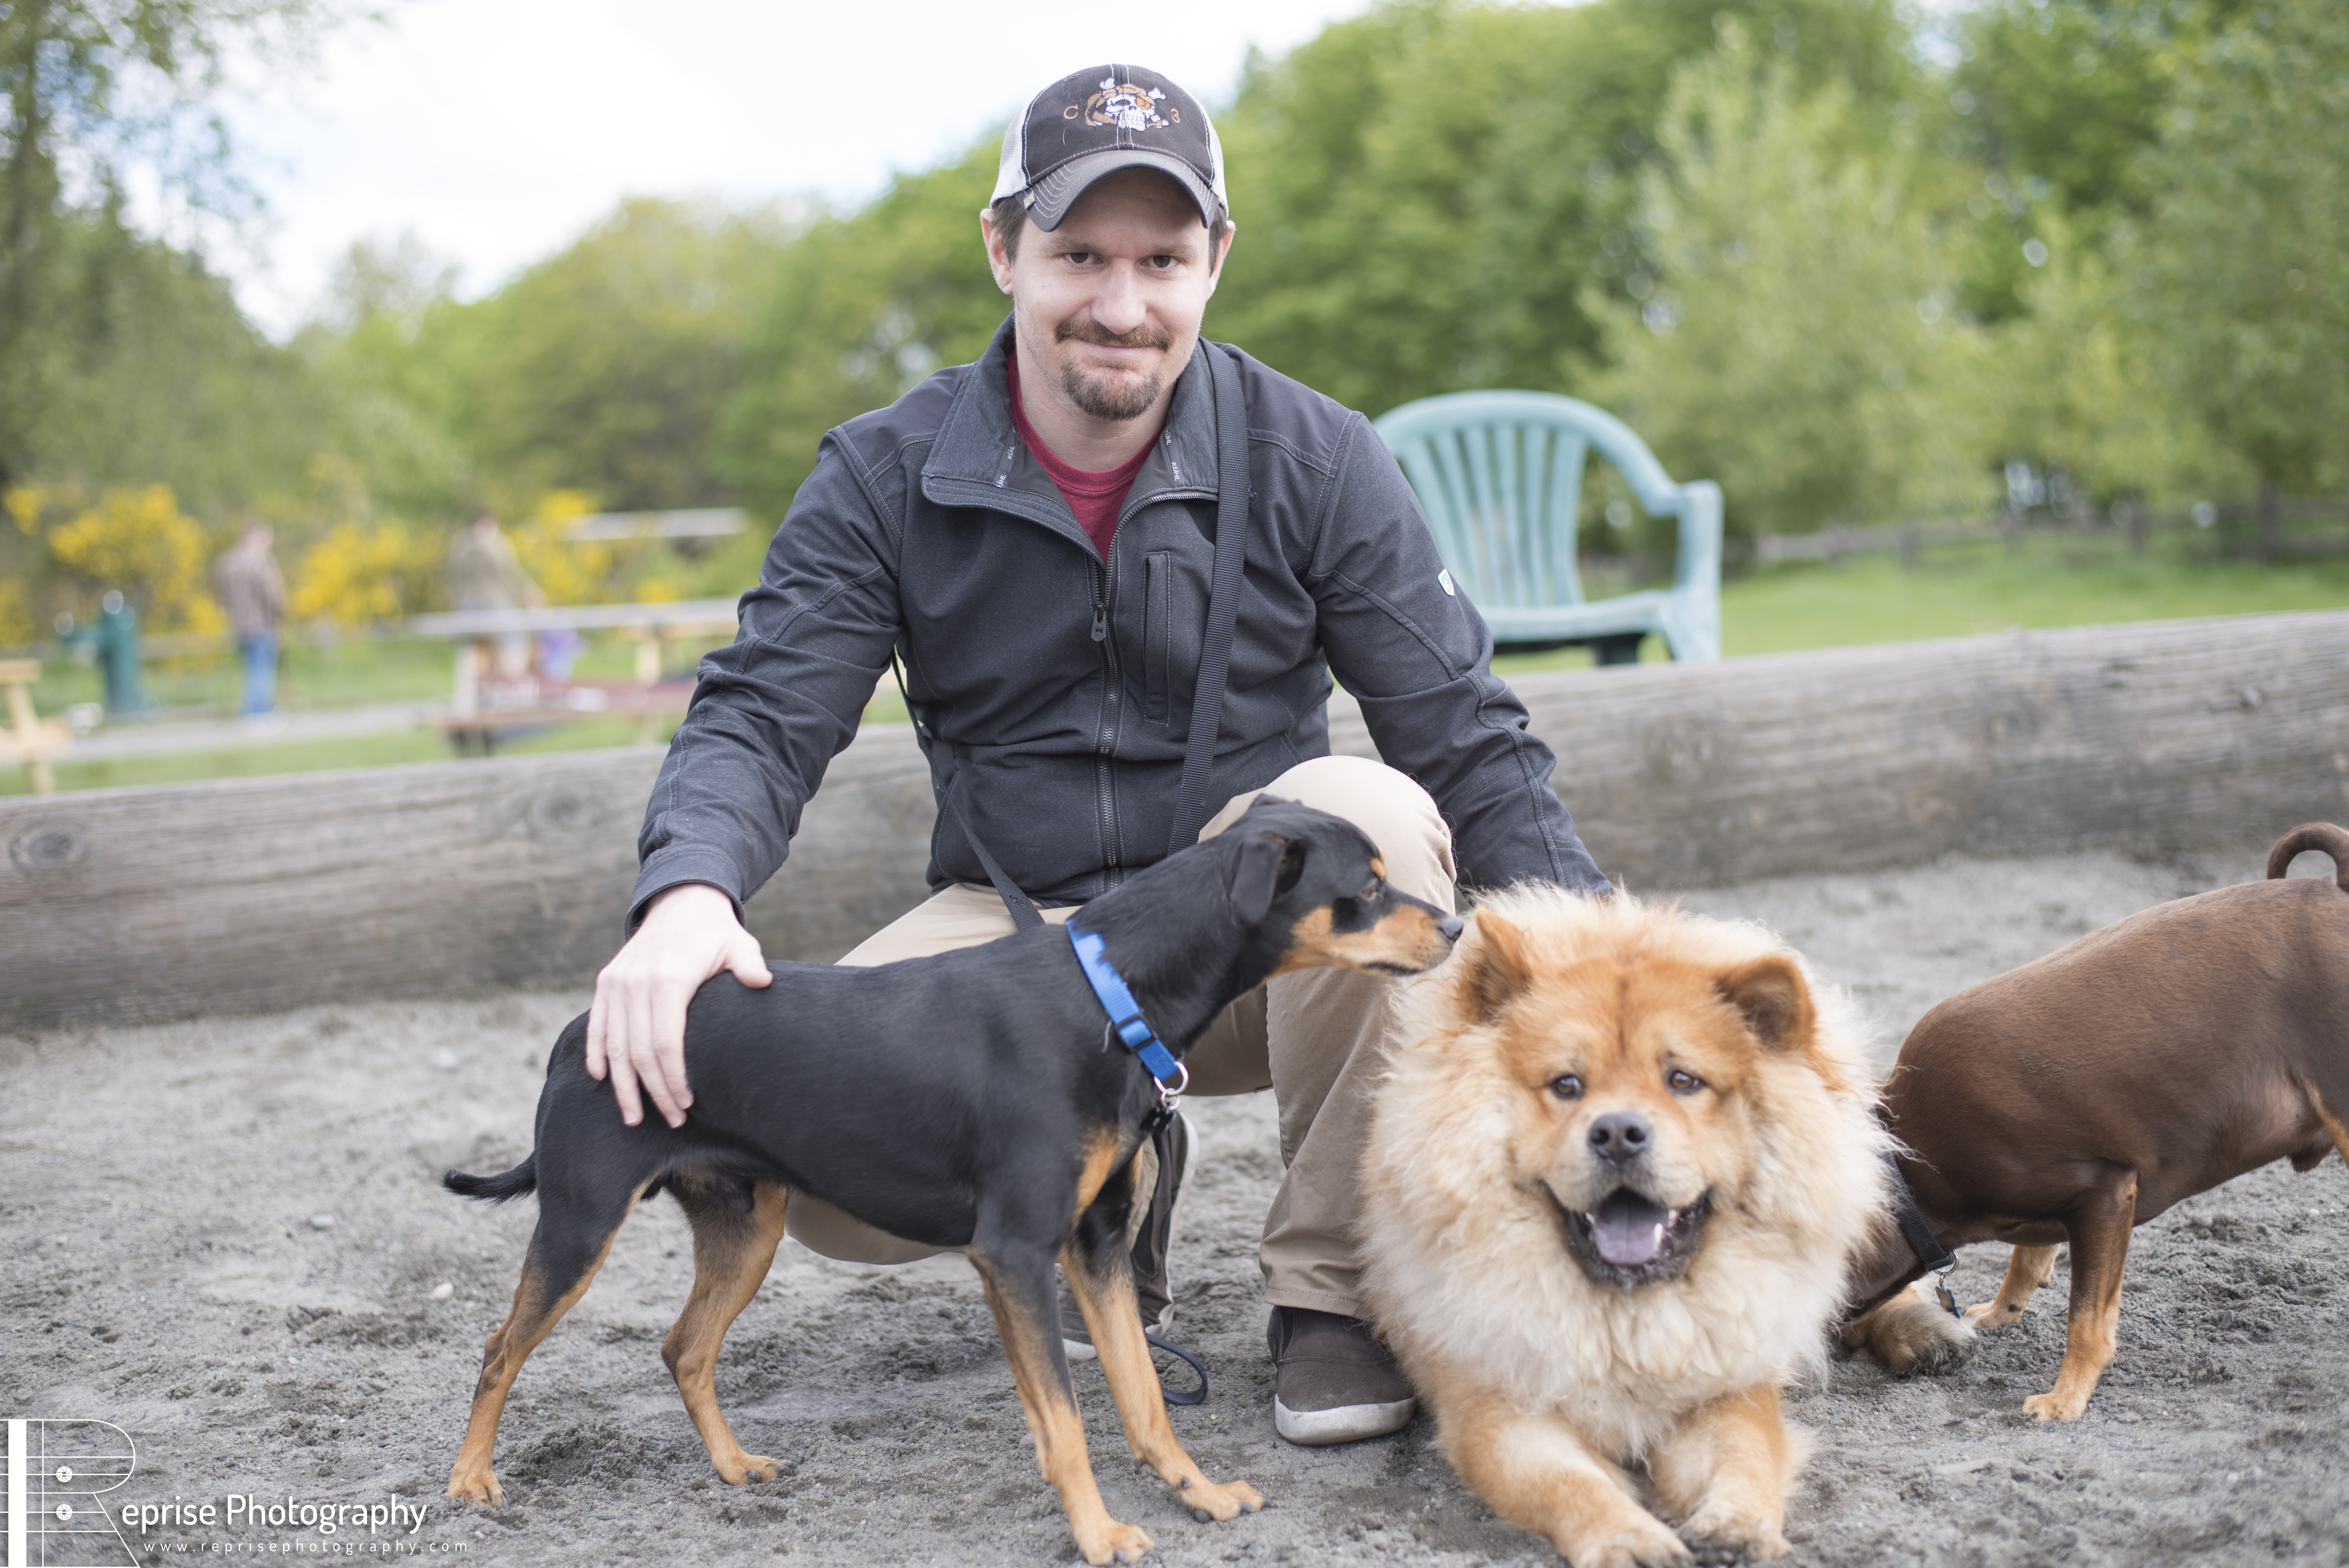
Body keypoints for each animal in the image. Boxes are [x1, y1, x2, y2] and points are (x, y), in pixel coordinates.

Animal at [442, 803, 1456, 1558]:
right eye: (1364, 888)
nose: (1453, 925)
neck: (1107, 995)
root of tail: (583, 1027)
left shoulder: (1093, 1248)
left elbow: (1140, 1396)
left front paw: (1194, 1493)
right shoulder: (1015, 1252)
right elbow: (1065, 1417)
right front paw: (1099, 1534)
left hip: (746, 1225)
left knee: (684, 1347)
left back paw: (732, 1468)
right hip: (582, 1222)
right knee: (499, 1348)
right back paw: (470, 1480)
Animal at [1362, 887, 1888, 1558]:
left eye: (1683, 1080)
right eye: (1566, 1085)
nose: (1617, 1133)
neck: (1628, 1324)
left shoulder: (1727, 1391)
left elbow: (1746, 1456)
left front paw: (1738, 1527)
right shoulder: (1500, 1410)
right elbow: (1570, 1484)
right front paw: (1631, 1540)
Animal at [1841, 821, 2349, 1418]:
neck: (1911, 1176)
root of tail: (2337, 891)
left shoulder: (2105, 1196)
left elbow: (2086, 1319)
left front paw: (2065, 1399)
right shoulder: (2055, 1210)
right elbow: (2028, 1261)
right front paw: (1999, 1312)